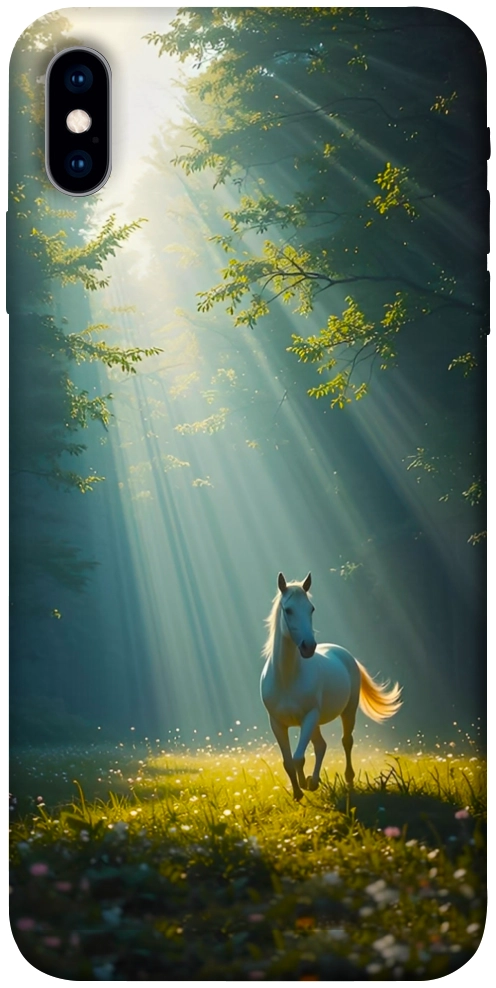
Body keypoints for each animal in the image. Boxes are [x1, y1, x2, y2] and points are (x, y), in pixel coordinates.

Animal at [260, 572, 402, 801]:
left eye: (311, 609)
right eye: (288, 610)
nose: (308, 647)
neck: (287, 678)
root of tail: (343, 653)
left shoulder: (309, 717)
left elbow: (298, 757)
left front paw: (305, 783)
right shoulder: (277, 724)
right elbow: (288, 762)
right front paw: (298, 792)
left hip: (347, 712)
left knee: (346, 742)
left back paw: (347, 780)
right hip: (315, 723)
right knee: (320, 746)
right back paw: (314, 781)